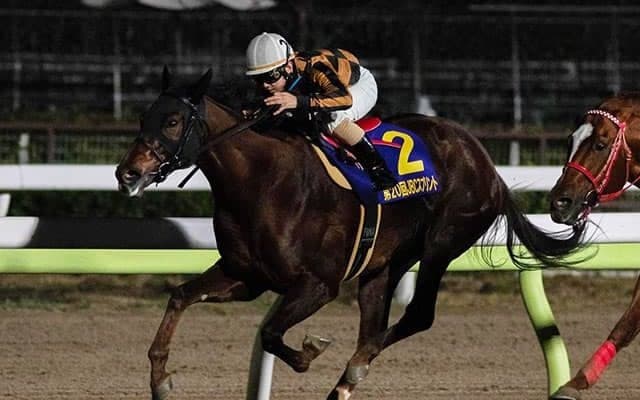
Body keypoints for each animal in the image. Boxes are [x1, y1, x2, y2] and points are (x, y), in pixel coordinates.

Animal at [115, 67, 586, 400]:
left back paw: (353, 370)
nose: (127, 173)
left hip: (442, 242)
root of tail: (486, 162)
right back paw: (346, 380)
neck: (261, 181)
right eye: (143, 117)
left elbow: (271, 334)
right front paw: (159, 379)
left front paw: (310, 350)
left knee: (414, 317)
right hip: (385, 262)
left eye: (173, 121)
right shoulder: (246, 277)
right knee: (376, 322)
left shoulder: (318, 285)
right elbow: (180, 296)